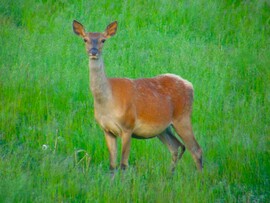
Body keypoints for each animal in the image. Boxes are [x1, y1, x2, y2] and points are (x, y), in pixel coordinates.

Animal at [72, 19, 202, 174]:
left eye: (103, 40)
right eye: (85, 39)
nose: (93, 52)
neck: (107, 102)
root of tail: (190, 85)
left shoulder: (128, 126)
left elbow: (123, 165)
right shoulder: (107, 130)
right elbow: (112, 165)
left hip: (183, 117)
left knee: (196, 149)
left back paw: (200, 176)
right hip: (163, 128)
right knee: (177, 147)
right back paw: (170, 175)